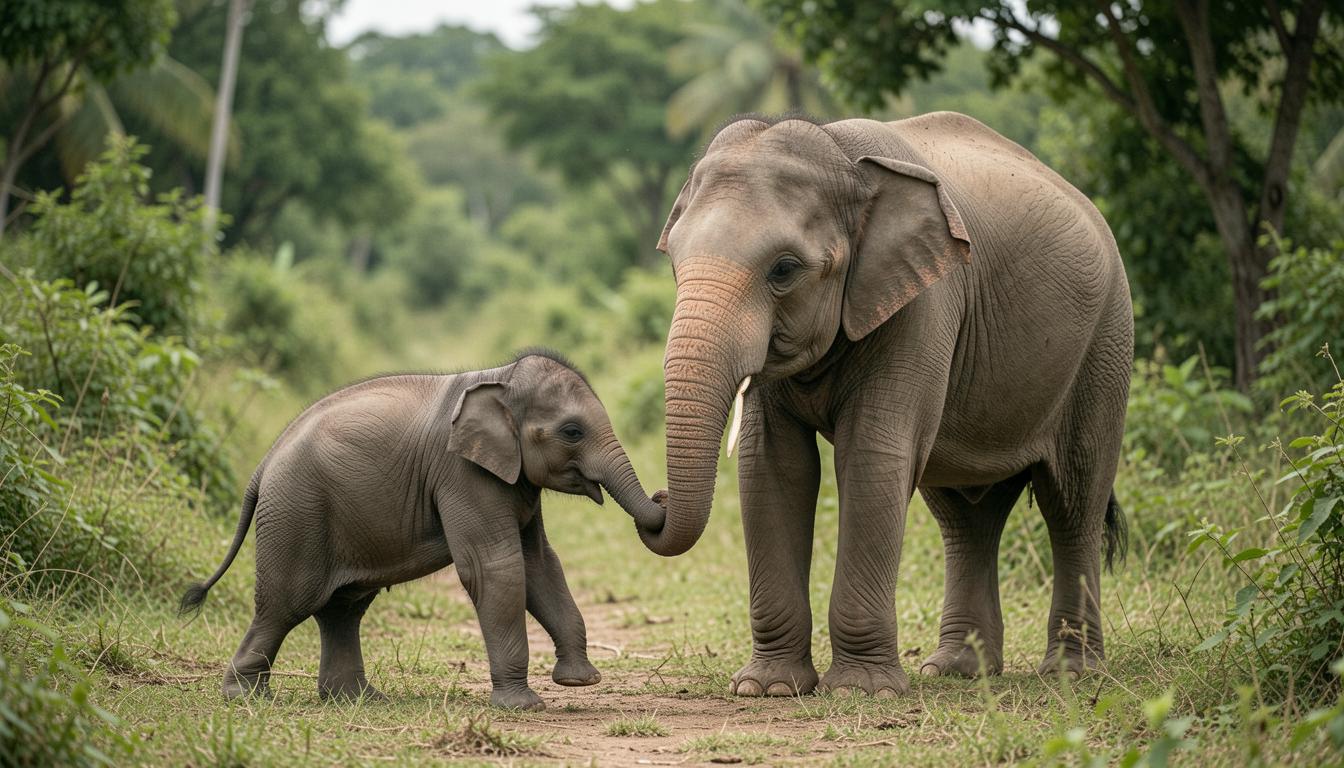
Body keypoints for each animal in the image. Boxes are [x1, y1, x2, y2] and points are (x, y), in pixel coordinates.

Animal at [180, 350, 666, 710]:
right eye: (572, 431)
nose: (662, 498)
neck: (500, 379)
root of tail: (263, 466)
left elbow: (541, 565)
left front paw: (580, 682)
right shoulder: (462, 473)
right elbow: (496, 567)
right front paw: (523, 706)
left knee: (341, 609)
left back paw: (357, 700)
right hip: (295, 514)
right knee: (285, 605)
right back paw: (245, 698)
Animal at [634, 112, 1132, 697]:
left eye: (783, 270)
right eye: (673, 261)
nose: (659, 497)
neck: (841, 156)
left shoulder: (927, 300)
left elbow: (872, 457)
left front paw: (858, 691)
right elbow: (773, 466)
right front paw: (769, 688)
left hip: (1105, 342)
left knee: (1073, 500)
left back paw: (1072, 674)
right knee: (966, 514)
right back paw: (958, 670)